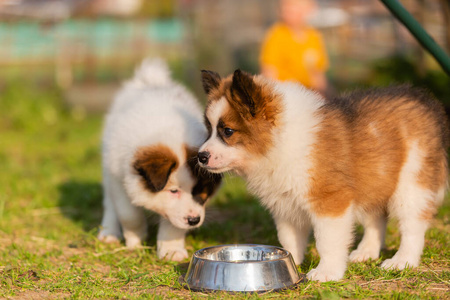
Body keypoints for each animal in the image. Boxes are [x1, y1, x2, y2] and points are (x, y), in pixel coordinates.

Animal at [98, 59, 221, 262]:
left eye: (201, 190)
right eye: (173, 191)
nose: (194, 220)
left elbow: (173, 223)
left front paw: (171, 250)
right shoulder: (118, 177)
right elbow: (128, 214)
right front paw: (136, 240)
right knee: (109, 203)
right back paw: (108, 232)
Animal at [199, 69, 448, 282]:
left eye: (227, 131)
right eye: (208, 130)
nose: (201, 156)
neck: (280, 140)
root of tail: (423, 101)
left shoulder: (330, 201)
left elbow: (327, 242)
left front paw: (326, 272)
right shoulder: (284, 205)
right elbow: (288, 238)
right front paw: (291, 262)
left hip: (412, 182)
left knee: (413, 226)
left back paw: (402, 261)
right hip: (374, 179)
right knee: (375, 219)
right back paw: (366, 251)